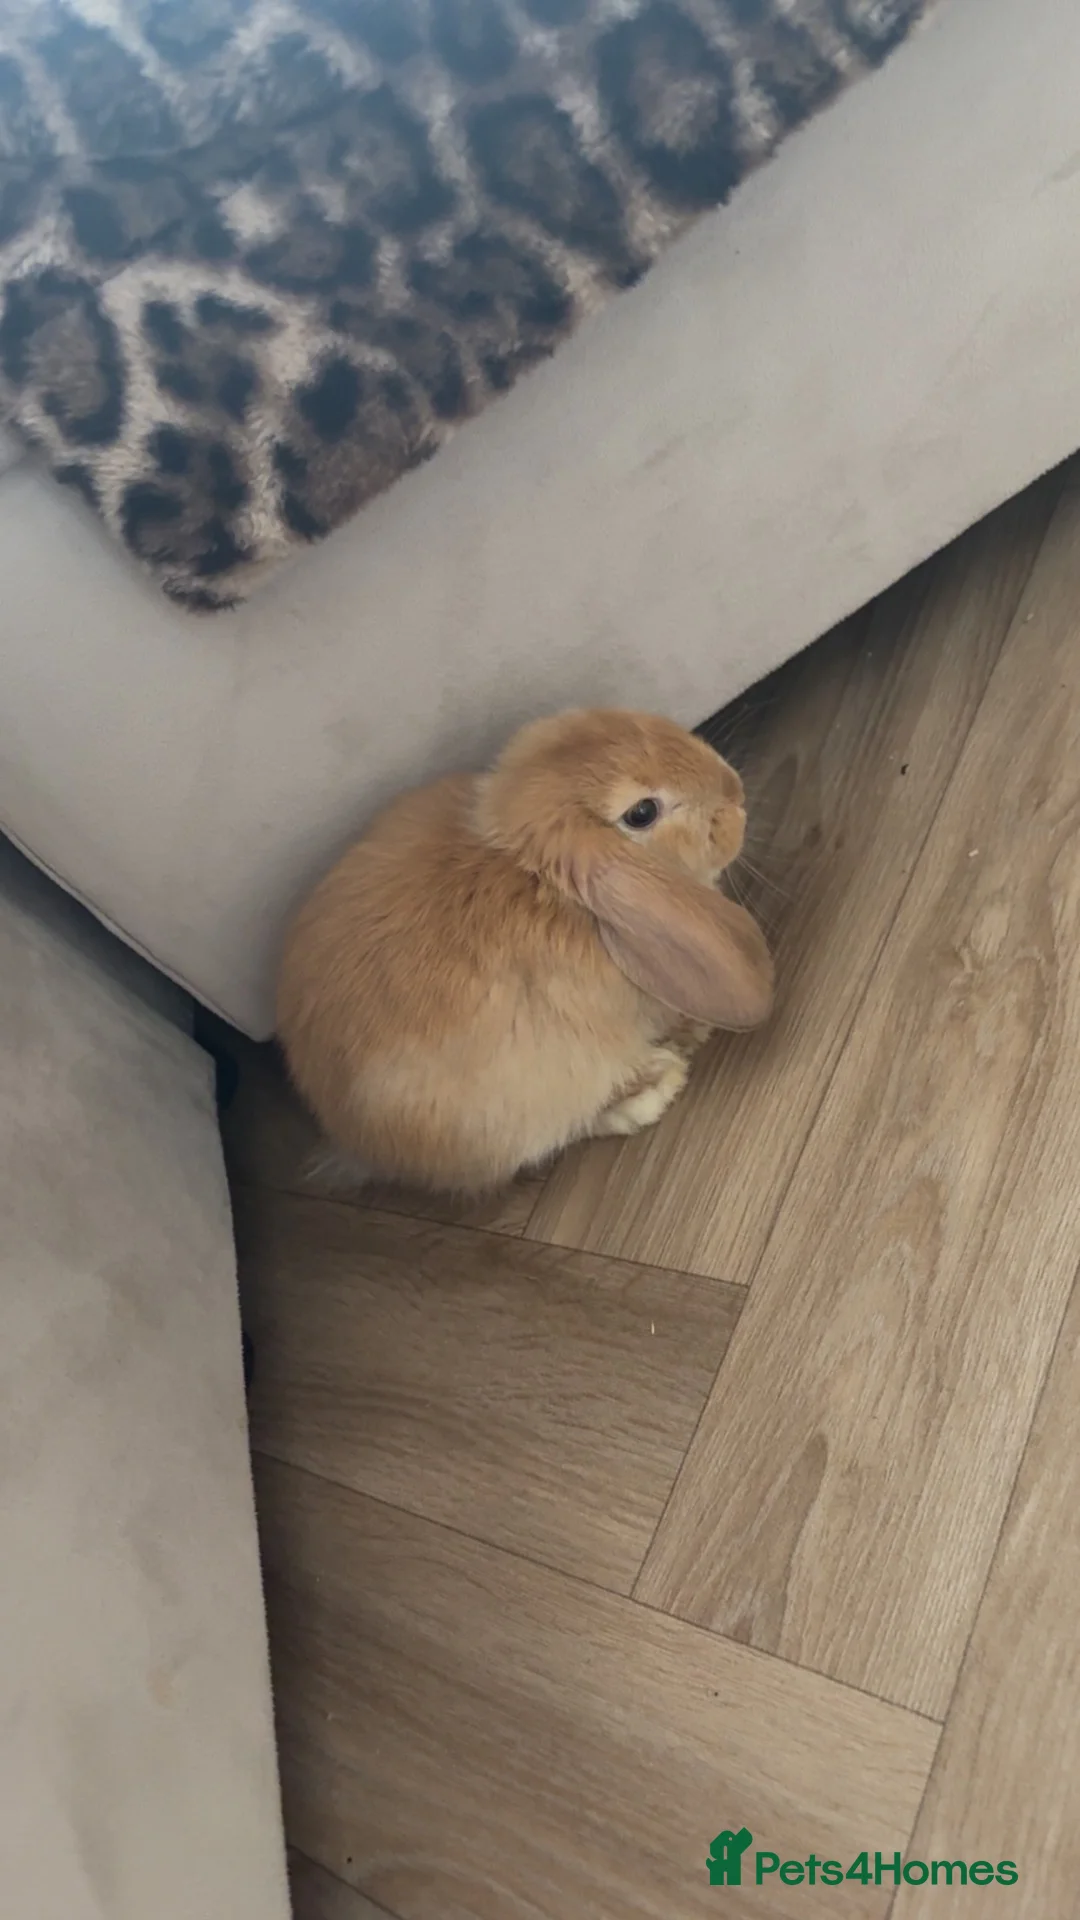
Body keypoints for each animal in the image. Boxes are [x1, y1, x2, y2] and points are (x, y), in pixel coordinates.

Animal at [276, 707, 773, 1197]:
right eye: (642, 812)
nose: (736, 793)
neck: (540, 878)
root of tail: (355, 1141)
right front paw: (690, 1033)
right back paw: (654, 1085)